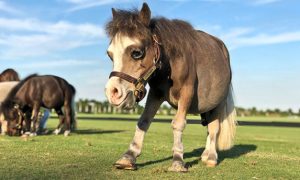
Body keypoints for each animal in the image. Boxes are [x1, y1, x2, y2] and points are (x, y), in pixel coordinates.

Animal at [105, 3, 237, 172]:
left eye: (136, 53)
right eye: (110, 55)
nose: (113, 92)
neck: (171, 64)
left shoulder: (187, 93)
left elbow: (178, 124)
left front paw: (178, 160)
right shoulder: (155, 94)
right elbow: (143, 121)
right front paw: (129, 156)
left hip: (218, 102)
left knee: (214, 128)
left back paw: (211, 157)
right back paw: (206, 154)